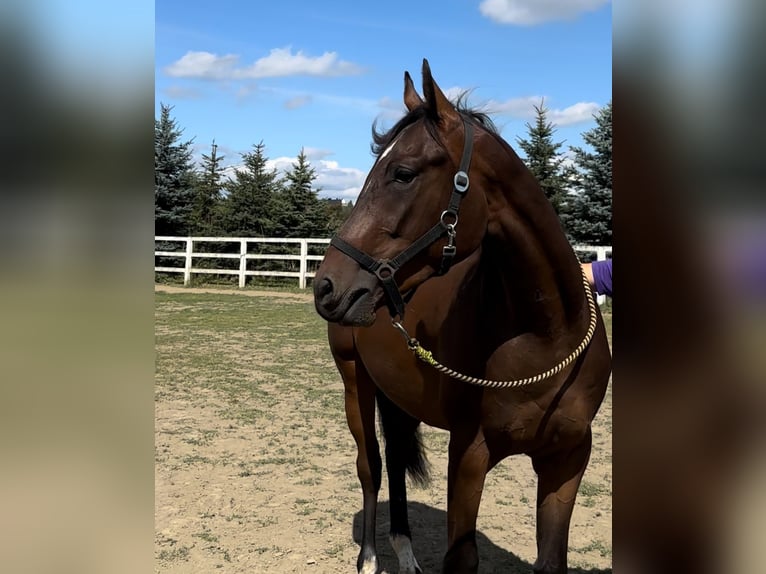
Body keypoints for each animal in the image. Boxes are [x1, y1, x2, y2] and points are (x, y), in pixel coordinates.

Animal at [313, 59, 611, 574]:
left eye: (403, 173)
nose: (326, 286)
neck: (546, 334)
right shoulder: (469, 454)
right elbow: (462, 556)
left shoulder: (569, 460)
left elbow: (551, 559)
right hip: (356, 382)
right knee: (371, 466)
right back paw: (369, 558)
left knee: (395, 459)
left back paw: (406, 554)